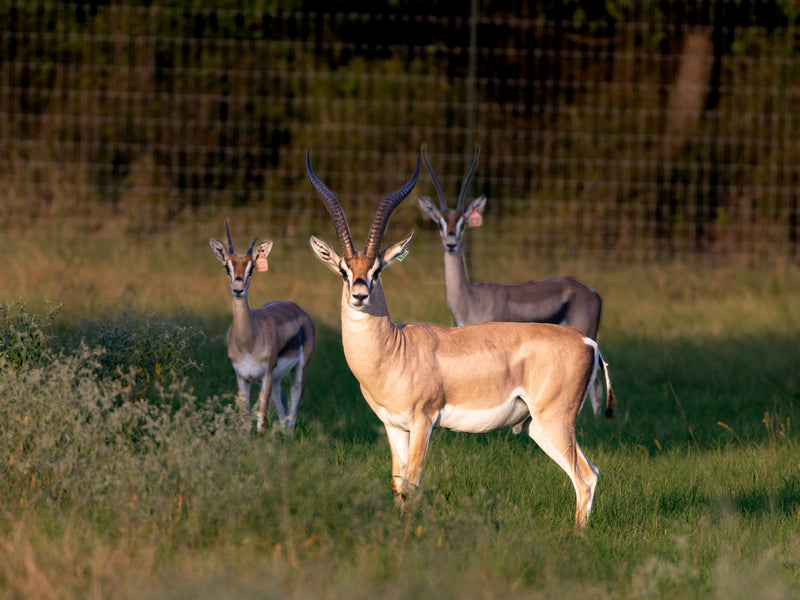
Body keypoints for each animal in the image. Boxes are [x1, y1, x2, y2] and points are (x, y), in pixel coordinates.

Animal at [210, 220, 315, 433]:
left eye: (251, 268)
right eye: (227, 267)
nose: (238, 290)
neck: (249, 343)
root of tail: (298, 309)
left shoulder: (265, 376)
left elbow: (261, 425)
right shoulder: (242, 378)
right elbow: (245, 423)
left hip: (298, 372)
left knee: (292, 415)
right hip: (276, 380)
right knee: (283, 414)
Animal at [418, 145, 612, 420]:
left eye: (463, 223)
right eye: (440, 222)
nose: (451, 244)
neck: (470, 299)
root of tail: (592, 291)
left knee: (594, 384)